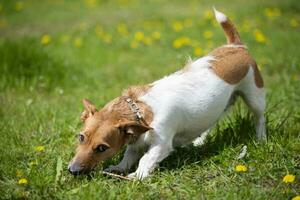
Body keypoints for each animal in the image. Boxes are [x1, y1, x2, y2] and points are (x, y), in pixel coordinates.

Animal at [67, 8, 264, 180]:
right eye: (81, 137)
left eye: (102, 148)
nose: (72, 170)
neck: (141, 109)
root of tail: (236, 46)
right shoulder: (136, 141)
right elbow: (129, 155)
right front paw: (119, 168)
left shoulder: (161, 143)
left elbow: (146, 159)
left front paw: (138, 176)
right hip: (219, 106)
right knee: (211, 121)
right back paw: (199, 141)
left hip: (255, 96)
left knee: (259, 118)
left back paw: (261, 138)